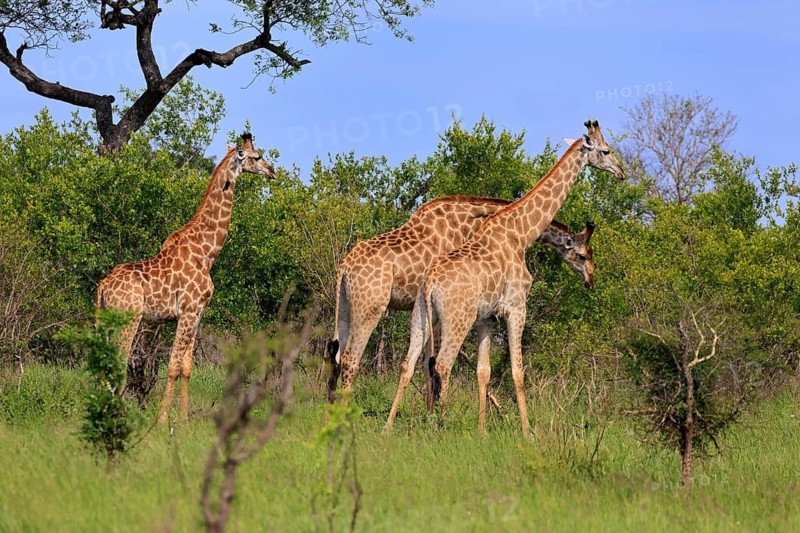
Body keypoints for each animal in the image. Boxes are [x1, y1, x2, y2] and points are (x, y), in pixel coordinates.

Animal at [96, 133, 277, 423]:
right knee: (118, 361)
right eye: (256, 156)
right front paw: (161, 421)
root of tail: (102, 286)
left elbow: (187, 367)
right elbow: (172, 366)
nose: (272, 172)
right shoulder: (188, 311)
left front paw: (183, 421)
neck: (207, 252)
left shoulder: (197, 313)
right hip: (128, 317)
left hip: (104, 317)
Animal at [326, 194, 595, 403]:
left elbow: (428, 362)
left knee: (334, 353)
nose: (590, 281)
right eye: (582, 255)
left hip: (345, 308)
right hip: (370, 308)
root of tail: (343, 268)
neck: (469, 220)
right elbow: (435, 363)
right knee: (350, 358)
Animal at [383, 218, 596, 431]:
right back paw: (441, 422)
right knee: (442, 364)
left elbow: (483, 371)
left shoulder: (486, 318)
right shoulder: (516, 310)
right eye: (582, 255)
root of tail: (429, 282)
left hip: (421, 316)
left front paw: (482, 428)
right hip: (457, 320)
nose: (591, 281)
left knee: (410, 364)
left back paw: (390, 425)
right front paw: (526, 430)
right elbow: (517, 370)